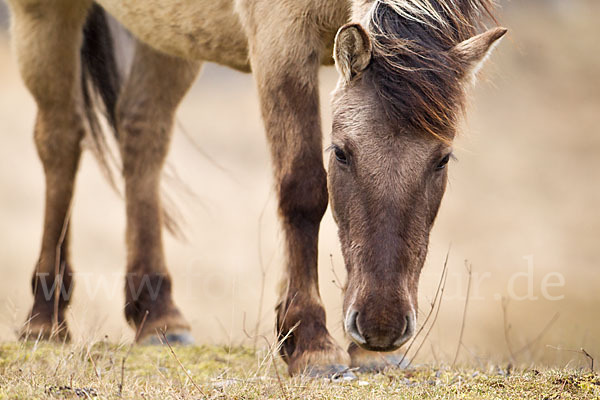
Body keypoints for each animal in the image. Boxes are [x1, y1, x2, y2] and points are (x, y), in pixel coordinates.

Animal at [5, 0, 506, 376]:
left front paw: (355, 352)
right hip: (43, 16)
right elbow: (301, 187)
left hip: (167, 34)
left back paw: (159, 316)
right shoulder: (281, 40)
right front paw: (311, 344)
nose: (381, 328)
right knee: (60, 139)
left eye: (442, 158)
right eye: (341, 152)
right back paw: (44, 318)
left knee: (142, 132)